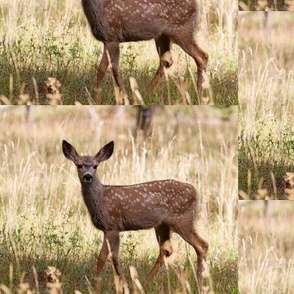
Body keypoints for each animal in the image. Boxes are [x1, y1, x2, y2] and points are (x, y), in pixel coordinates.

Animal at [62, 140, 209, 292]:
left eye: (95, 166)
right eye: (79, 165)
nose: (88, 176)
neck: (101, 199)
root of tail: (196, 192)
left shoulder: (111, 226)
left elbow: (102, 257)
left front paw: (96, 288)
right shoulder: (116, 229)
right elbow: (115, 258)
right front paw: (124, 286)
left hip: (182, 220)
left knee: (202, 245)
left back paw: (200, 284)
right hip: (162, 225)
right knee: (167, 249)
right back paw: (144, 284)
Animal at [81, 0, 209, 105]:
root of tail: (196, 5)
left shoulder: (111, 37)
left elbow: (101, 69)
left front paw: (96, 101)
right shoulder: (115, 40)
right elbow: (115, 69)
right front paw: (125, 100)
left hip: (181, 31)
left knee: (202, 56)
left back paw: (200, 96)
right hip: (163, 36)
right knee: (167, 60)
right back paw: (142, 97)